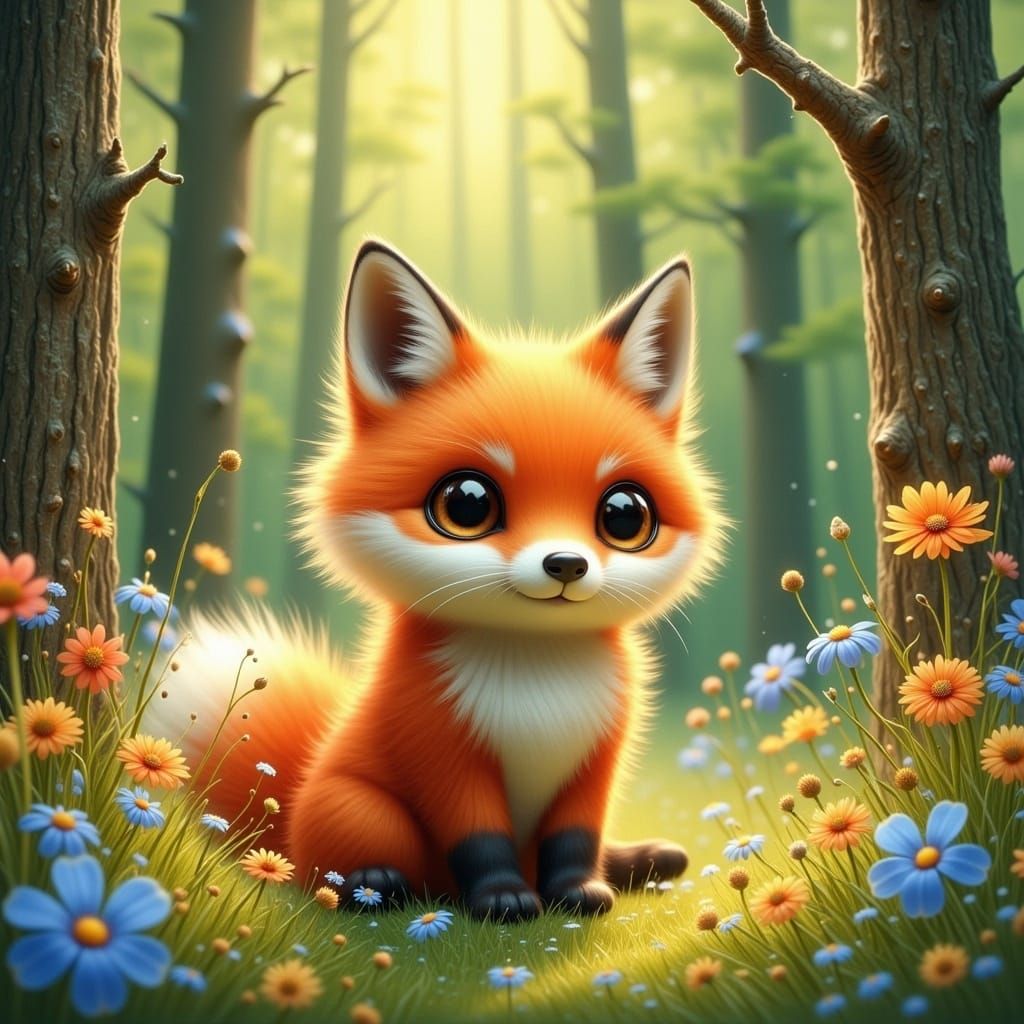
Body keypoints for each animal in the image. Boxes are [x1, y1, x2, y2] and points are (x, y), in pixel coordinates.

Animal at [157, 240, 723, 921]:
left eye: (624, 515)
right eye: (467, 504)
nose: (567, 565)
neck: (536, 681)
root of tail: (286, 814)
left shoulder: (595, 761)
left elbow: (576, 839)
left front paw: (578, 893)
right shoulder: (441, 751)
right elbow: (479, 840)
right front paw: (504, 900)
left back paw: (641, 861)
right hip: (363, 810)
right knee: (340, 870)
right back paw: (375, 885)